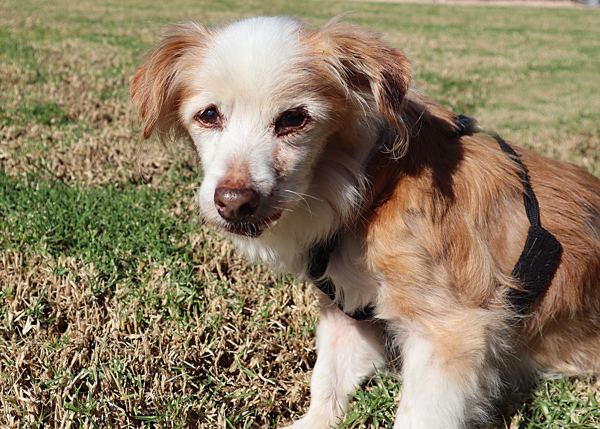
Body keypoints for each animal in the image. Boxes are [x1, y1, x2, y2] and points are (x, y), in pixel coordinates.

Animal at [130, 16, 600, 428]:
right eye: (208, 115)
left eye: (294, 119)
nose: (234, 201)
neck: (372, 192)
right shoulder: (349, 313)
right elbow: (327, 382)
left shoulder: (450, 332)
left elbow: (418, 416)